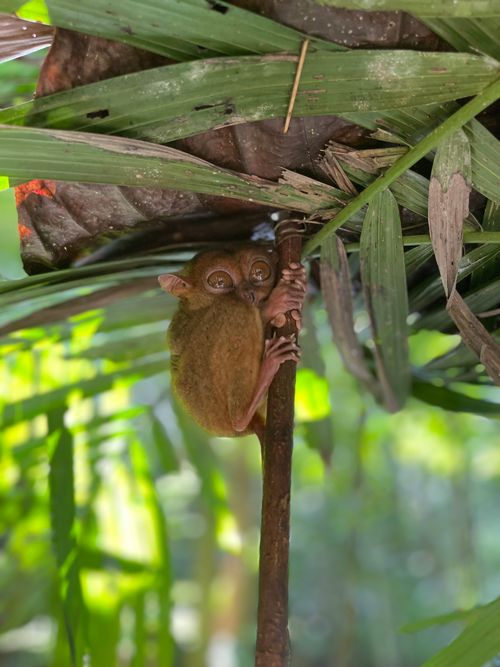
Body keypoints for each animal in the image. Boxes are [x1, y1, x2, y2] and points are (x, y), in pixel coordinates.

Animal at [158, 244, 306, 445]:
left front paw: (299, 281)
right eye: (220, 282)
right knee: (236, 307)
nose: (250, 294)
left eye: (259, 272)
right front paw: (275, 304)